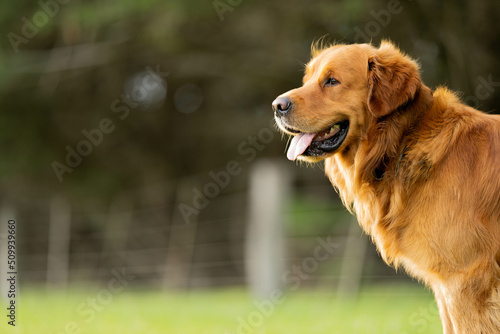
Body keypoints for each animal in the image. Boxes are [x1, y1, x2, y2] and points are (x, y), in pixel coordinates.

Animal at [274, 40, 500, 332]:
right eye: (307, 80)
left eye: (332, 81)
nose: (277, 105)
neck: (403, 141)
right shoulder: (448, 286)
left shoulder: (464, 279)